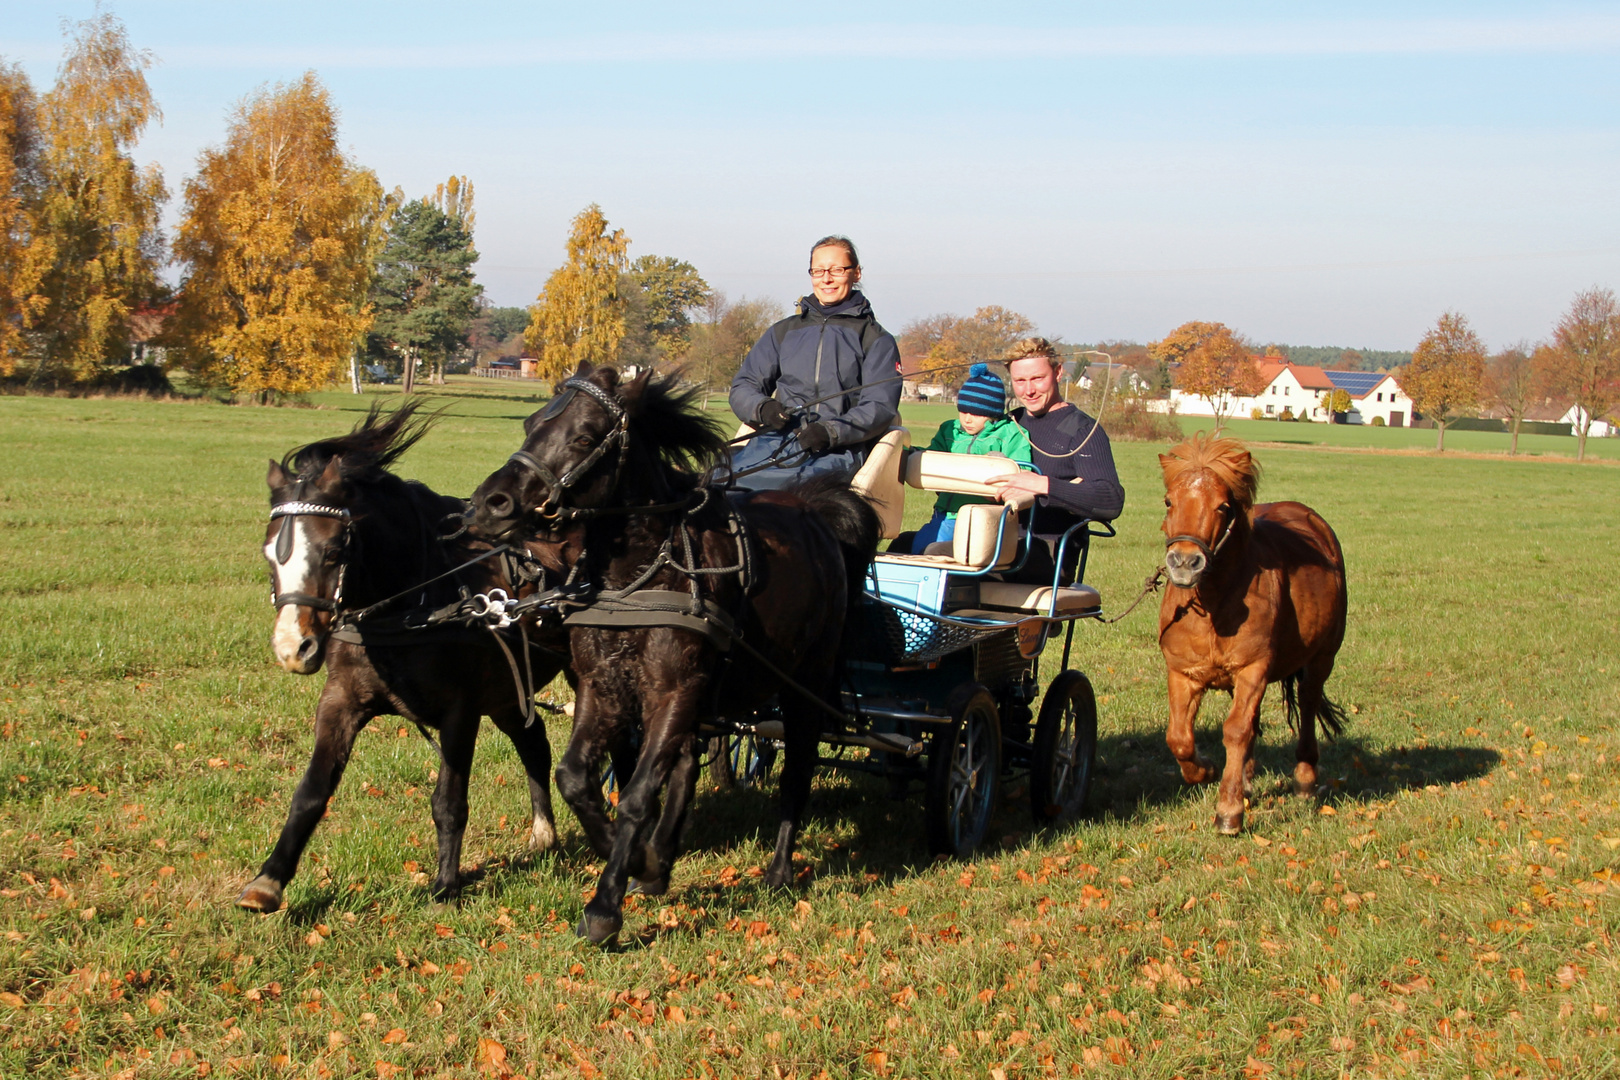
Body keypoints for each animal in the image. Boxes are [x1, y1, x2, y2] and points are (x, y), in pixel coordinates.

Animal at [236, 404, 570, 913]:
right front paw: (268, 880)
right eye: (270, 552)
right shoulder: (341, 701)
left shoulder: (461, 712)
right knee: (534, 744)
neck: (415, 599)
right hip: (509, 692)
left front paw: (446, 885)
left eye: (334, 549)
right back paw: (544, 835)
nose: (294, 647)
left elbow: (448, 802)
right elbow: (311, 791)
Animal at [1159, 433, 1347, 835]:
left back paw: (1304, 778)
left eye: (1222, 506)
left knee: (1307, 704)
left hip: (1321, 660)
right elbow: (1179, 738)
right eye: (1169, 501)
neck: (1212, 605)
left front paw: (1228, 811)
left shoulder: (1253, 670)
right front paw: (1206, 770)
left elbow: (1236, 731)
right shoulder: (1183, 674)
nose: (1184, 562)